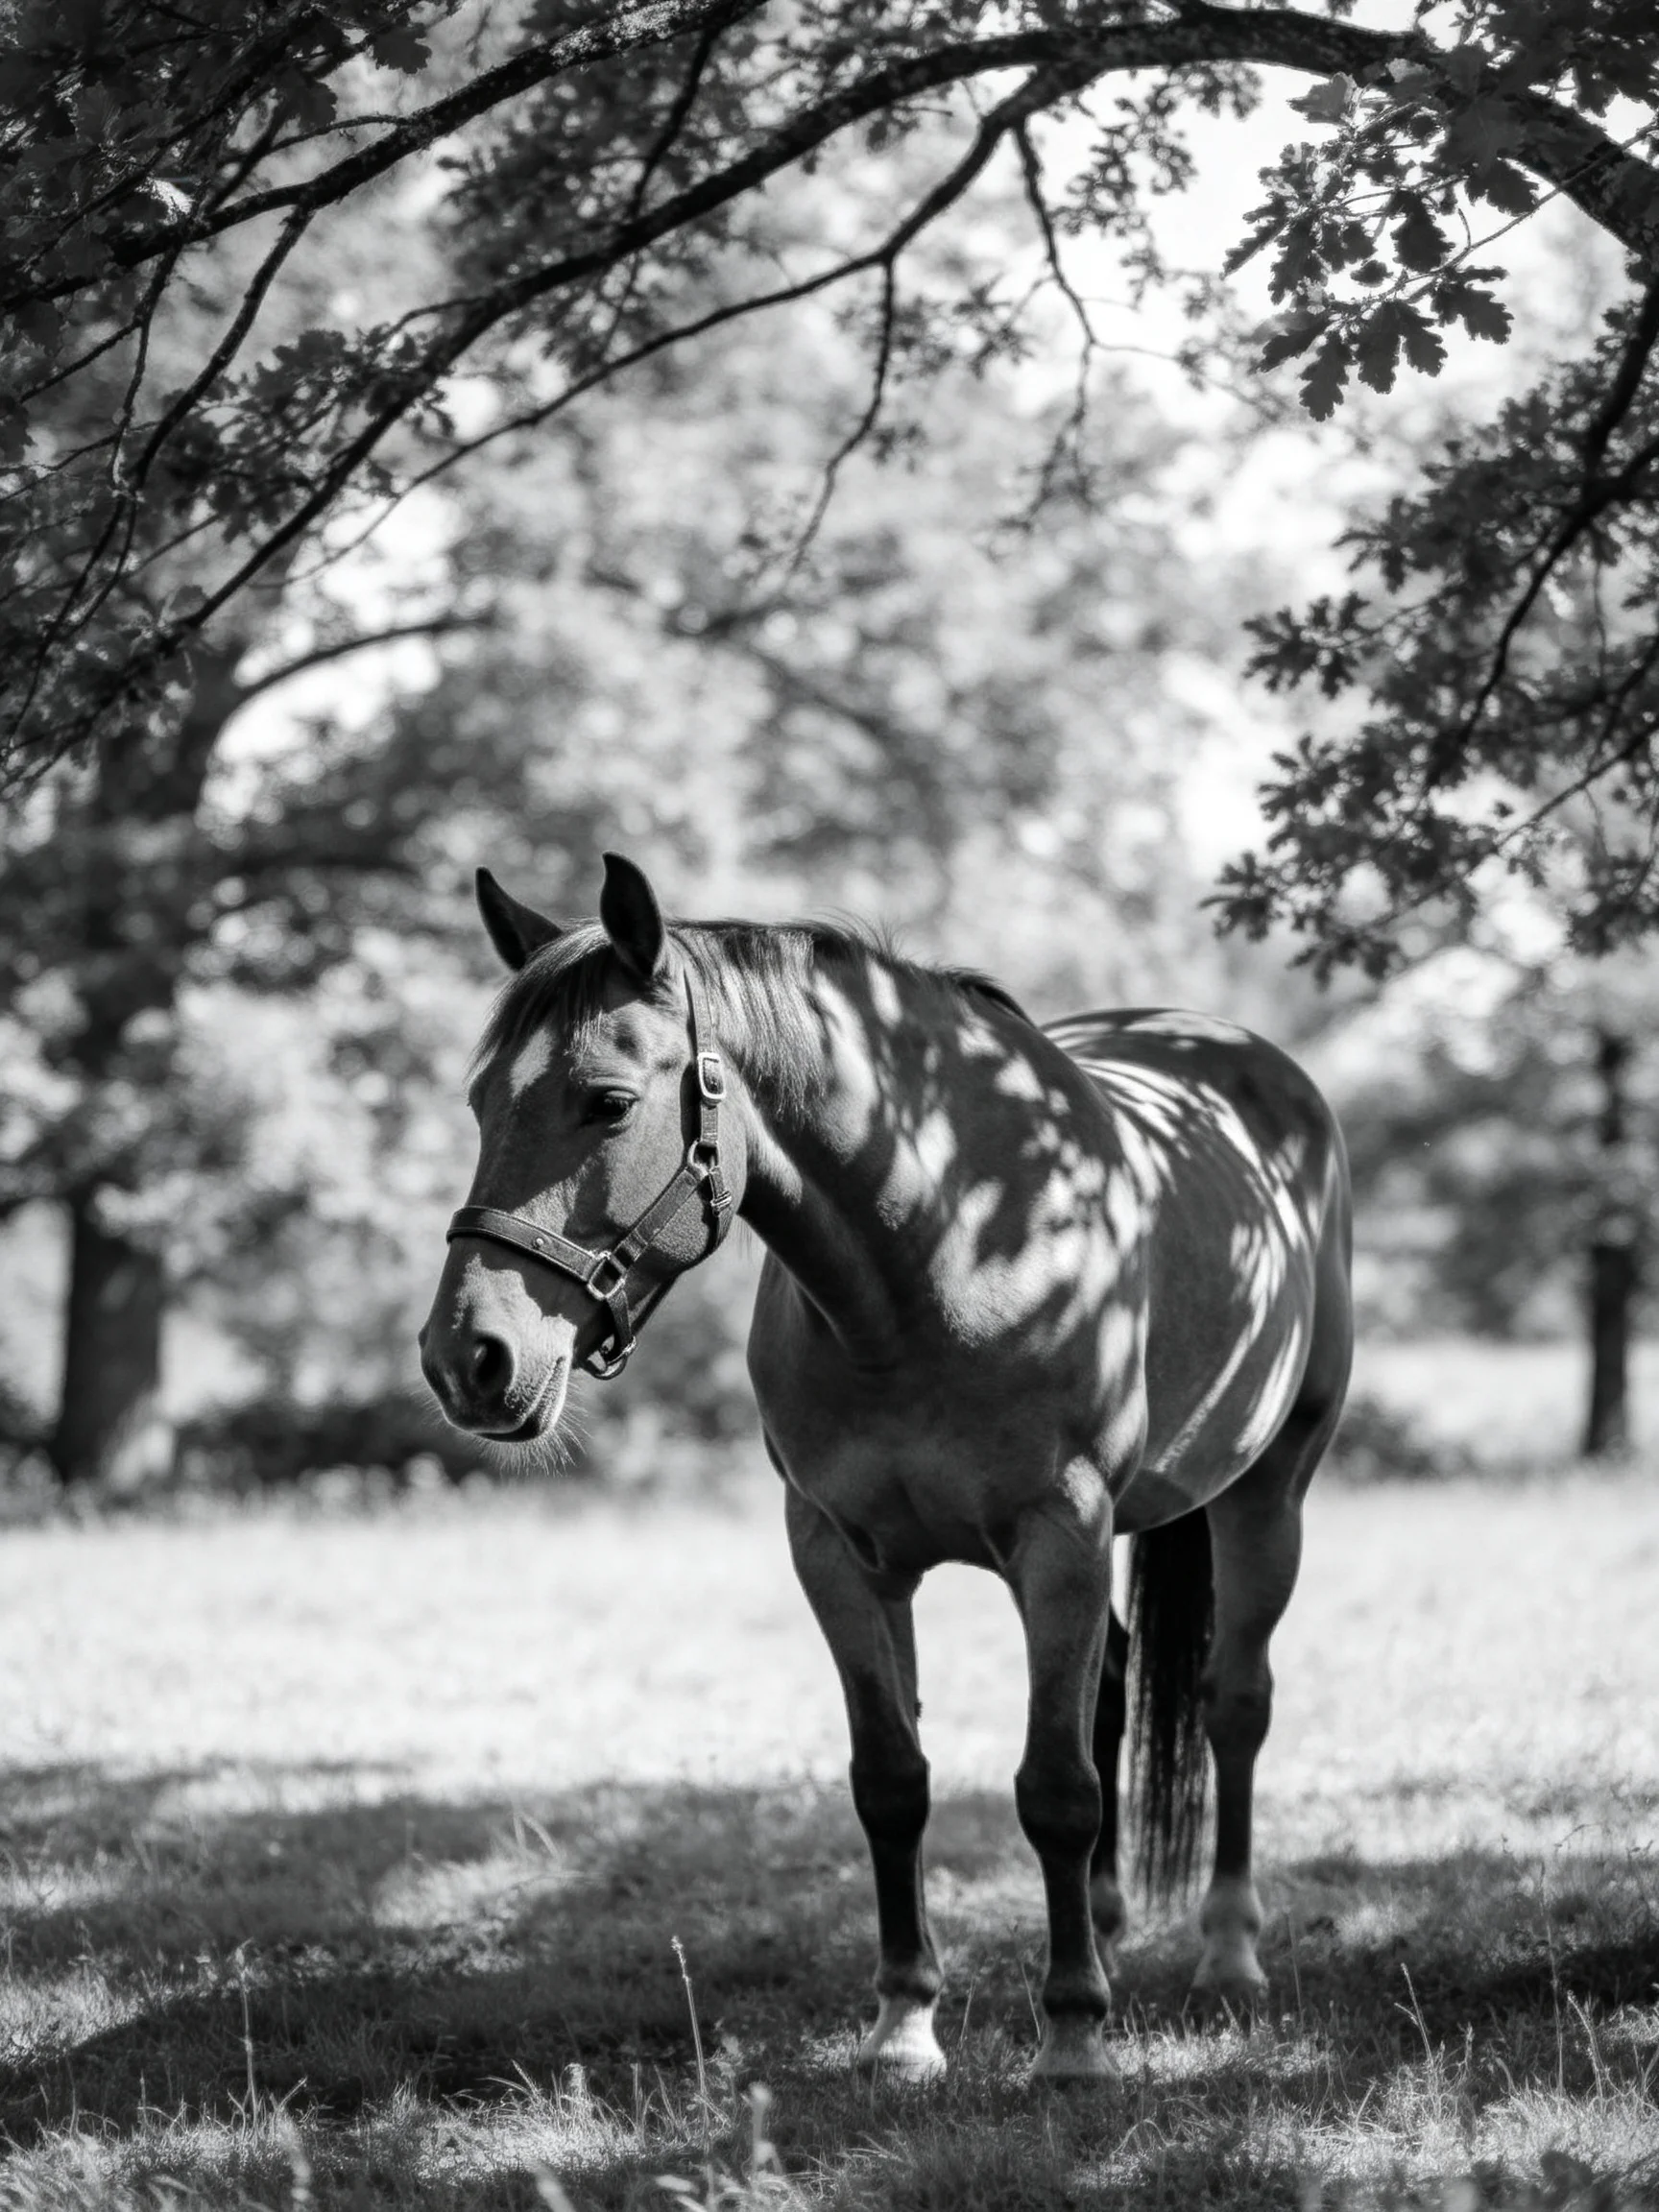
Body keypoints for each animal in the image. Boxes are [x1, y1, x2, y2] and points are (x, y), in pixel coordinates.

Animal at [419, 853, 1353, 2082]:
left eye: (607, 1102)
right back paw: (1102, 1930)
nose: (468, 1359)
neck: (946, 1253)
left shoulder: (1058, 1540)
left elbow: (1056, 1790)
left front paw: (1071, 2037)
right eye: (481, 1104)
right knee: (1111, 1698)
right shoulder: (840, 1553)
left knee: (1231, 1704)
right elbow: (894, 1783)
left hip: (1268, 1495)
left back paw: (1227, 1952)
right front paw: (906, 2024)